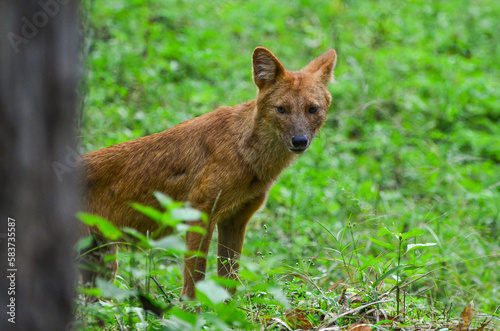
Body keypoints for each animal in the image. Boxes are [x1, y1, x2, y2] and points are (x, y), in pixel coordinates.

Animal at [82, 47, 338, 300]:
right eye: (282, 109)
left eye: (312, 109)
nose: (299, 141)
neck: (244, 152)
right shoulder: (199, 213)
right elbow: (194, 281)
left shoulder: (236, 218)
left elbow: (229, 280)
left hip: (103, 260)